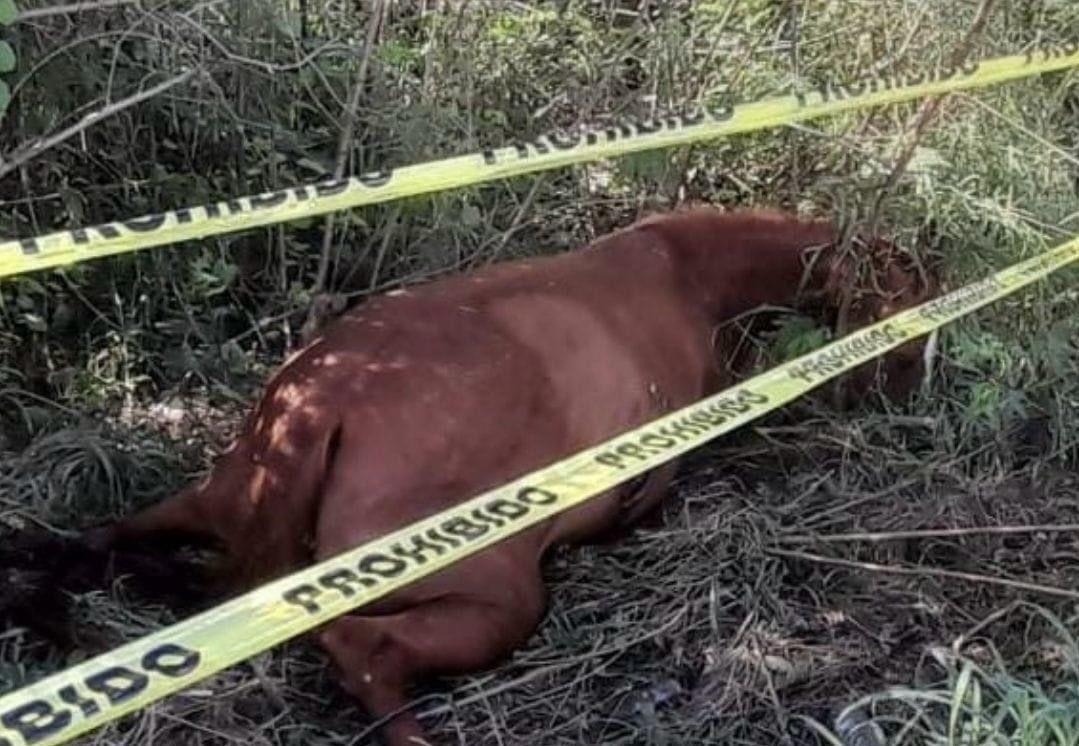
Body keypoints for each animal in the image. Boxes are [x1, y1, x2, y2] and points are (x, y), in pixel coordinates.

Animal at [44, 206, 936, 746]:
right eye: (906, 314)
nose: (908, 398)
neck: (684, 271)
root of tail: (326, 400)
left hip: (220, 491)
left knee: (110, 531)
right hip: (497, 591)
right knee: (363, 650)